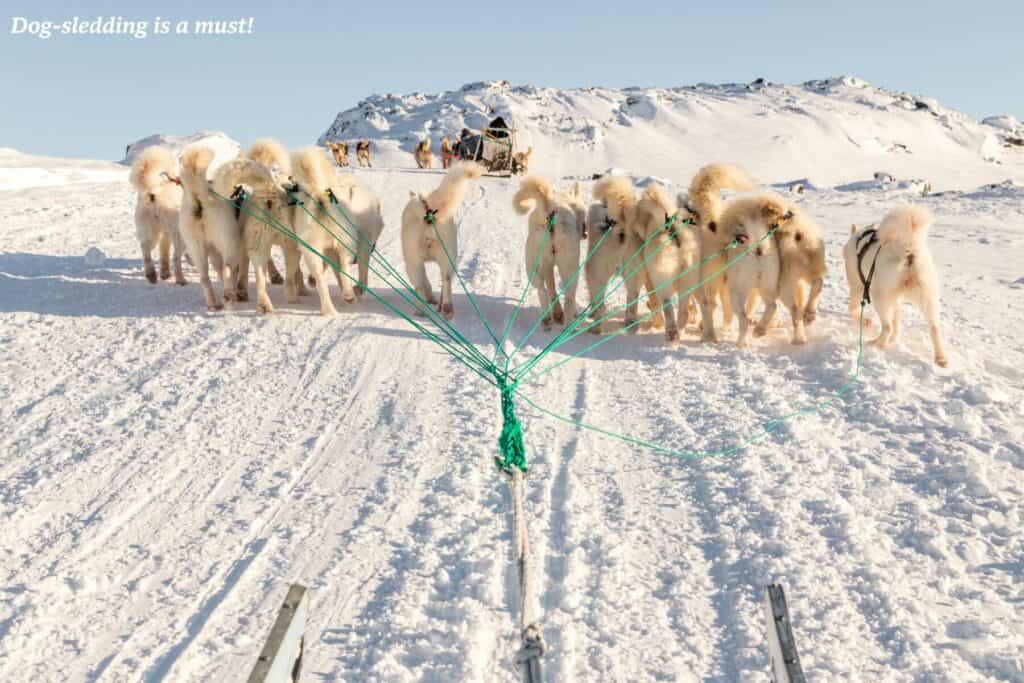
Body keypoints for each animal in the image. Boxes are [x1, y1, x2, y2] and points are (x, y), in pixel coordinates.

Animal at [129, 147, 187, 286]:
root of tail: (153, 194)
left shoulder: (165, 235)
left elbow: (164, 253)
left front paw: (165, 274)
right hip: (178, 235)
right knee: (176, 258)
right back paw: (181, 280)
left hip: (152, 232)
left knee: (145, 247)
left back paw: (151, 274)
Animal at [399, 160, 483, 321]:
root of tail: (428, 213)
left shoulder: (413, 262)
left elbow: (425, 283)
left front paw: (430, 298)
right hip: (448, 258)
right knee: (447, 281)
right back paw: (446, 309)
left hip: (414, 263)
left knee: (421, 286)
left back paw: (422, 309)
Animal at [512, 178, 585, 329]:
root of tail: (551, 213)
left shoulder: (547, 267)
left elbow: (552, 288)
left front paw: (557, 313)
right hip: (570, 268)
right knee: (569, 298)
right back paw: (569, 325)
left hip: (532, 264)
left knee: (542, 290)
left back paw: (547, 318)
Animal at [843, 205, 946, 368]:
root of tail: (908, 246)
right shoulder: (896, 299)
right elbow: (897, 321)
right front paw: (893, 339)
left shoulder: (858, 286)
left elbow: (852, 308)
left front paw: (866, 321)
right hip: (927, 297)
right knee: (934, 328)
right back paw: (941, 359)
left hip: (878, 297)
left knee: (887, 327)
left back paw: (876, 343)